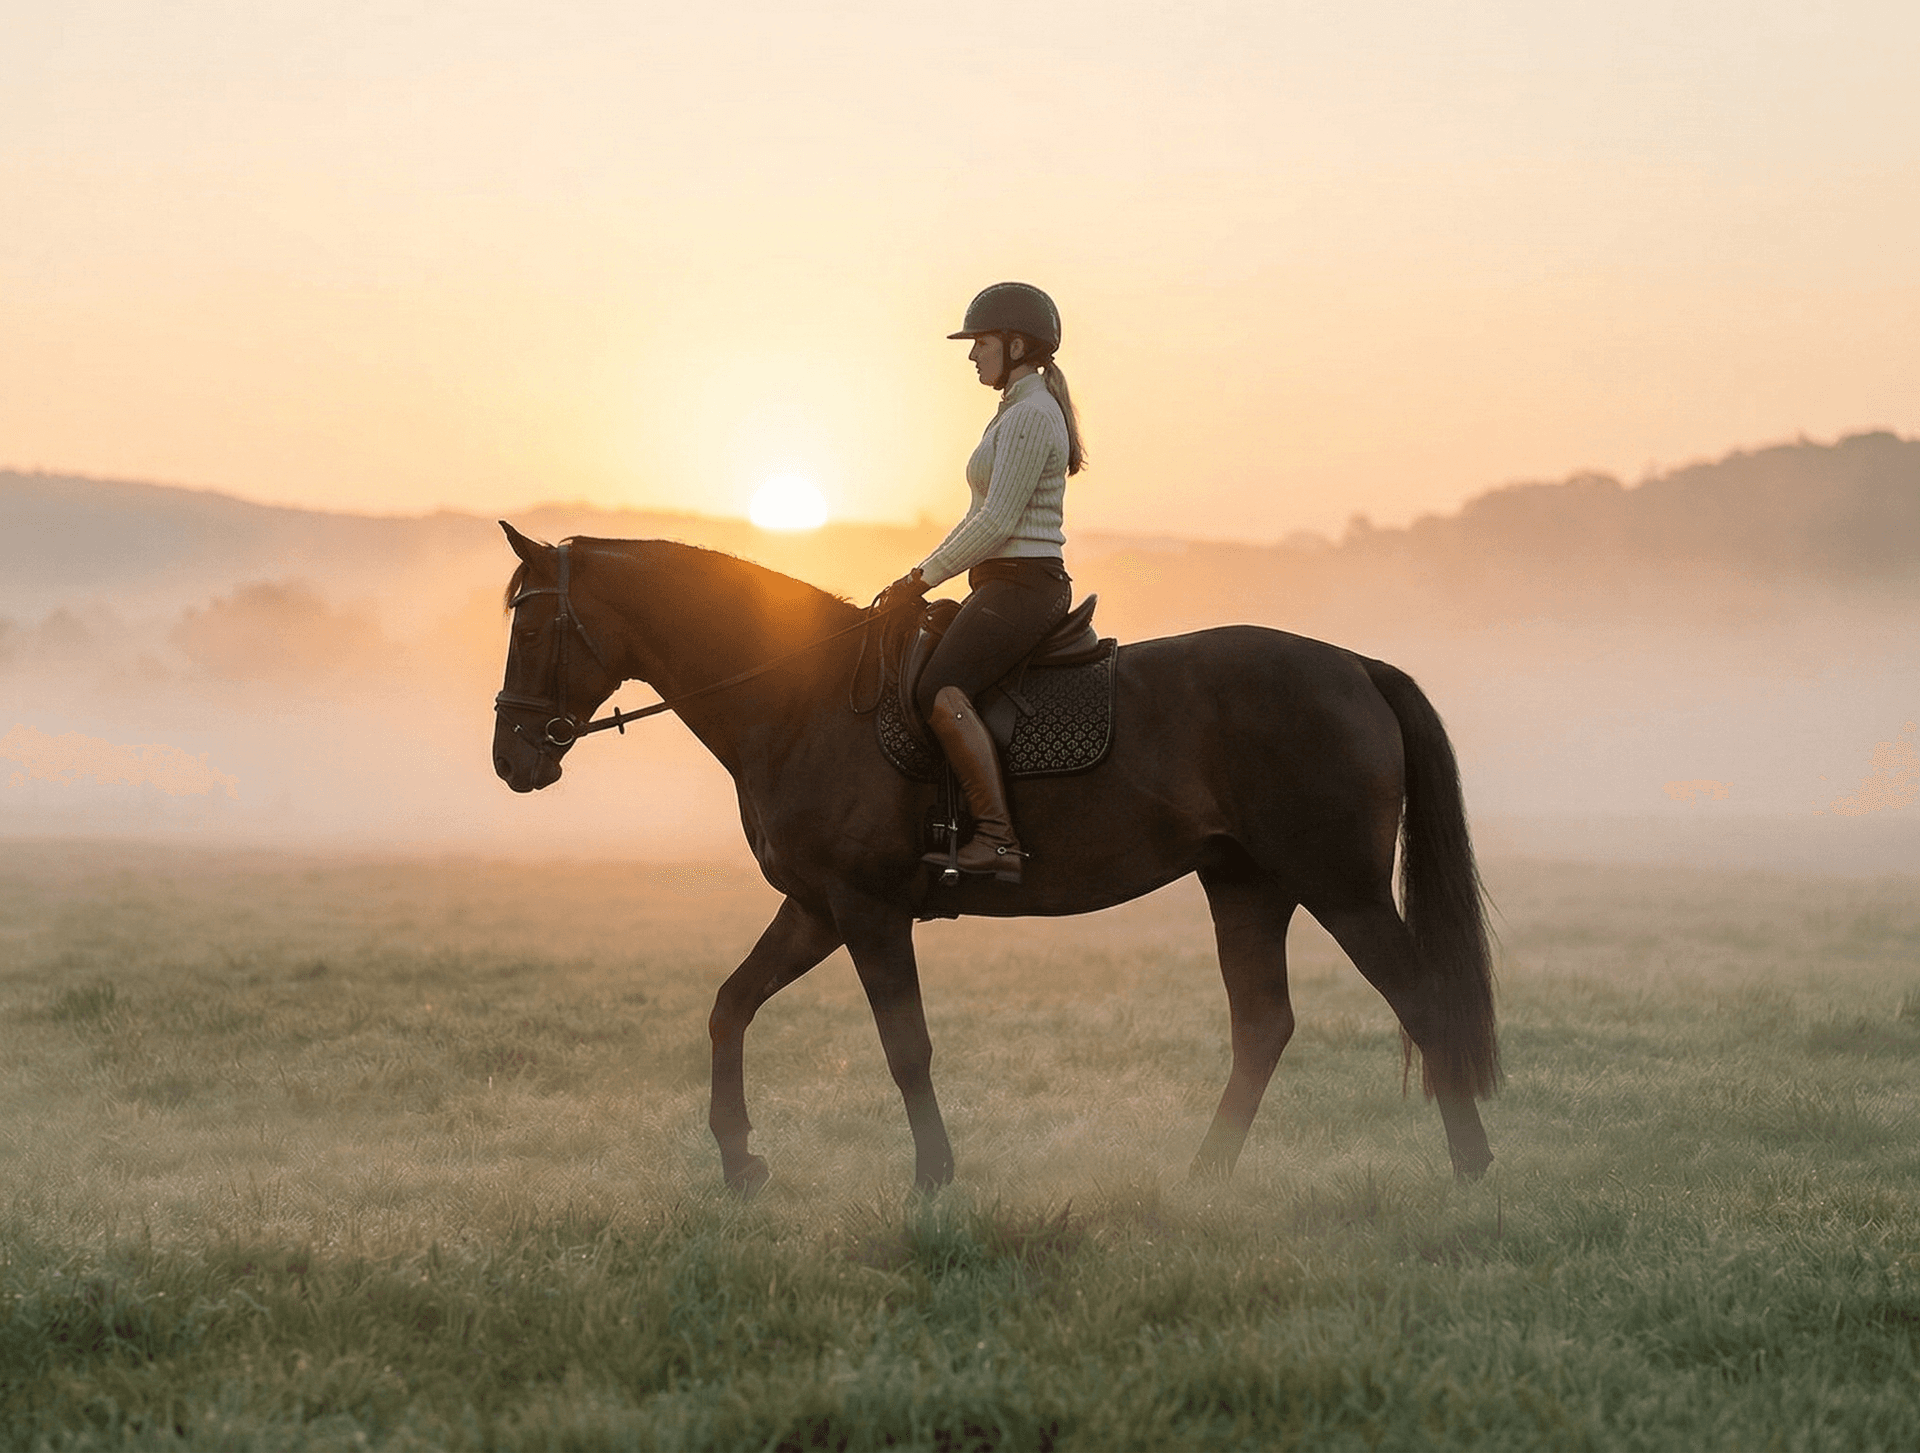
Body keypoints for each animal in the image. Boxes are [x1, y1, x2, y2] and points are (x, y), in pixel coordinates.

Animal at [491, 523, 1498, 1194]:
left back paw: (1470, 1165)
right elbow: (729, 1005)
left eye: (532, 630)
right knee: (1264, 1025)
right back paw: (1203, 1177)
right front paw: (741, 1160)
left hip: (1342, 887)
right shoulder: (815, 908)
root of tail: (1356, 666)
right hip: (1246, 885)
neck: (800, 697)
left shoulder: (865, 909)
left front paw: (934, 1175)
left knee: (1419, 1000)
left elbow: (905, 1046)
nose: (511, 759)